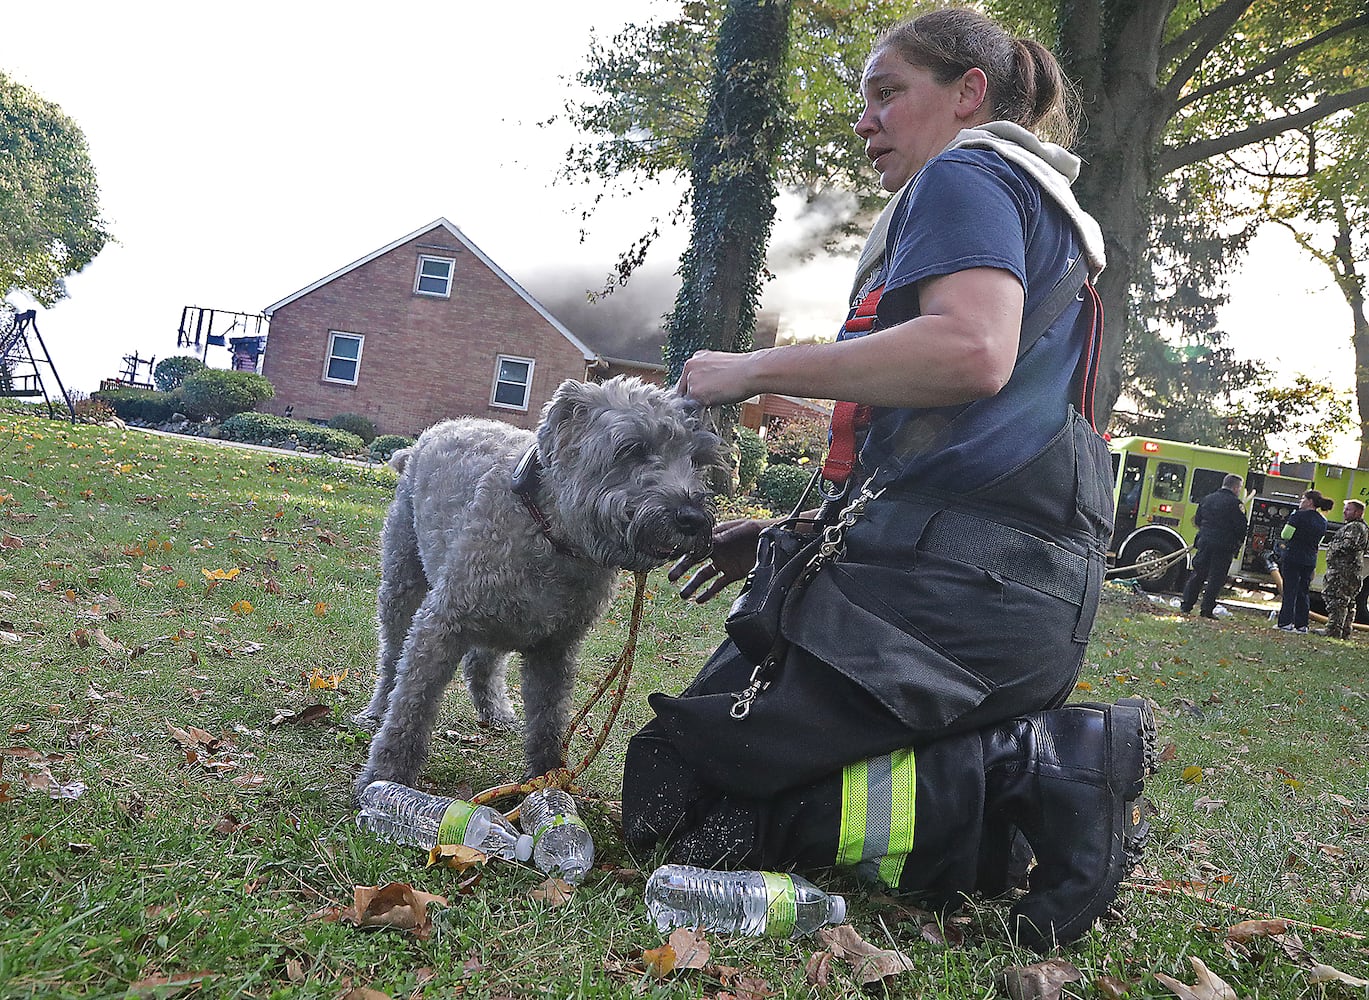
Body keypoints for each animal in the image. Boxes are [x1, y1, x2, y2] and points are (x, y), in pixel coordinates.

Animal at [353, 372, 722, 794]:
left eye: (698, 459)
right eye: (633, 448)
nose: (692, 518)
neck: (551, 535)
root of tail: (428, 436)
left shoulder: (554, 649)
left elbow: (549, 719)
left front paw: (548, 778)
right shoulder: (441, 624)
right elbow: (411, 704)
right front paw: (386, 774)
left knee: (481, 660)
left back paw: (495, 710)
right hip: (402, 584)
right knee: (391, 659)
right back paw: (377, 709)